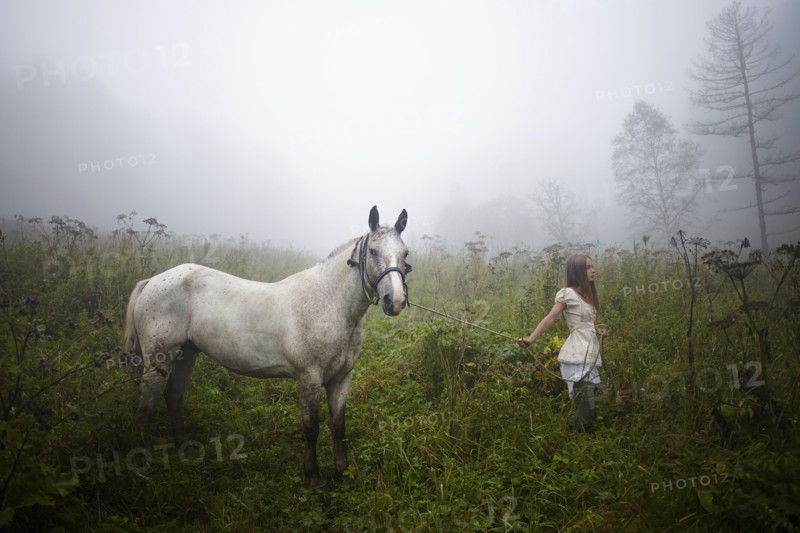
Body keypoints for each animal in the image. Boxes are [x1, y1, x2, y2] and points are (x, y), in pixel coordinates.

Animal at [124, 206, 410, 488]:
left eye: (405, 253)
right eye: (373, 251)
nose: (395, 301)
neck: (329, 302)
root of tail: (152, 282)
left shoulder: (341, 379)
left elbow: (338, 427)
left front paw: (343, 475)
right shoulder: (309, 378)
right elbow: (311, 428)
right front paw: (314, 477)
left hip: (186, 354)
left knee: (173, 396)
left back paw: (185, 448)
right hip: (159, 360)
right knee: (145, 402)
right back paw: (144, 457)